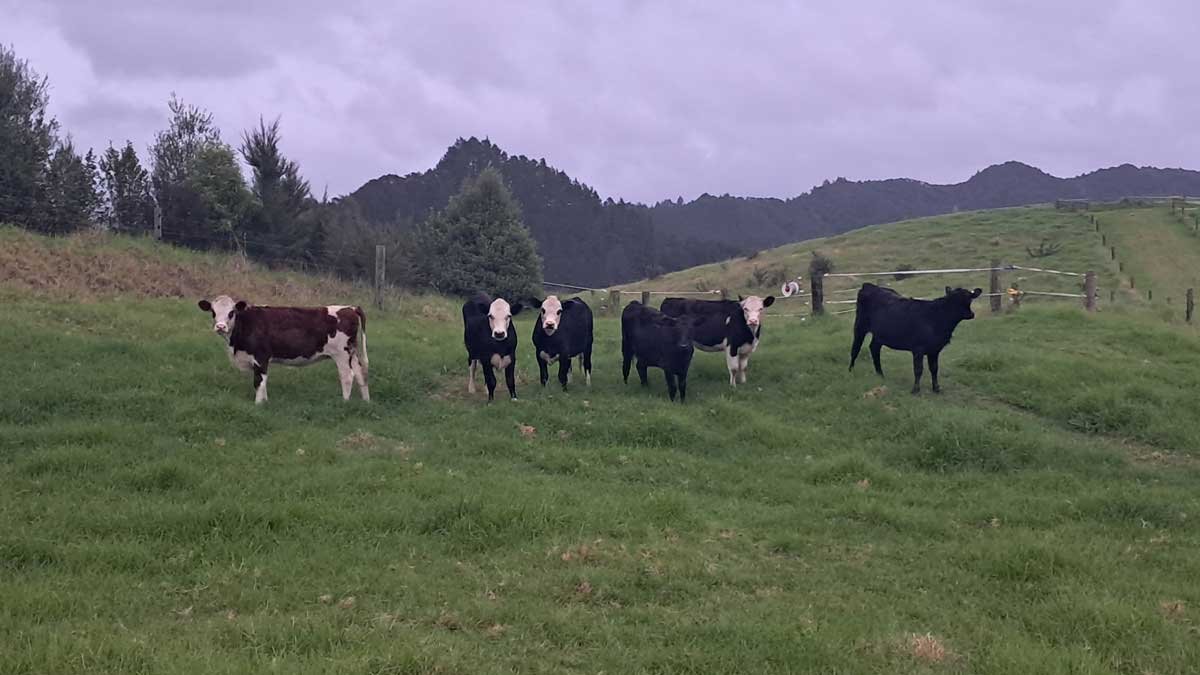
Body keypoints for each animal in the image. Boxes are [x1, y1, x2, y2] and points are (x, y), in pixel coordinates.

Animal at [197, 295, 369, 404]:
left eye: (231, 313)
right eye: (213, 312)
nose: (220, 326)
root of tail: (351, 307)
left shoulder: (261, 357)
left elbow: (259, 381)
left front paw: (258, 404)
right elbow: (263, 381)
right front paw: (265, 401)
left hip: (342, 354)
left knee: (347, 376)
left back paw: (345, 402)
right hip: (352, 353)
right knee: (360, 374)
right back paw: (366, 401)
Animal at [848, 283, 982, 394]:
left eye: (969, 298)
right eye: (953, 301)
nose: (971, 314)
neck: (936, 318)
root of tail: (869, 285)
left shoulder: (935, 349)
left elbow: (934, 368)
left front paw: (936, 388)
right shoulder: (918, 348)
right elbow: (918, 369)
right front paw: (915, 389)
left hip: (879, 334)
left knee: (874, 348)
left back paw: (880, 375)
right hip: (859, 326)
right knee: (855, 348)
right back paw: (850, 371)